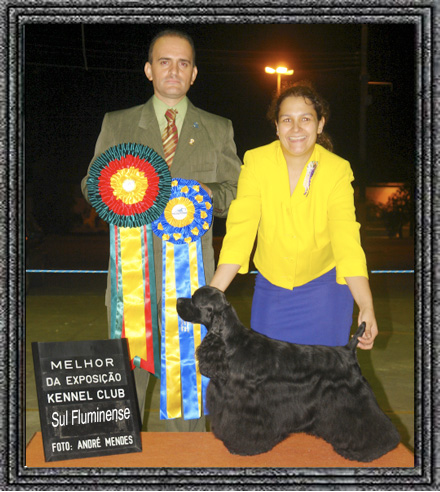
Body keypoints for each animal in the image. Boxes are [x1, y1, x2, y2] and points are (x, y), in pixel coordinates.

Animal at [176, 285, 401, 461]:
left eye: (194, 299)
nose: (177, 300)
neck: (230, 344)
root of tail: (348, 350)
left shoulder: (244, 402)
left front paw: (242, 447)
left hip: (352, 398)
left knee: (371, 422)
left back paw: (370, 449)